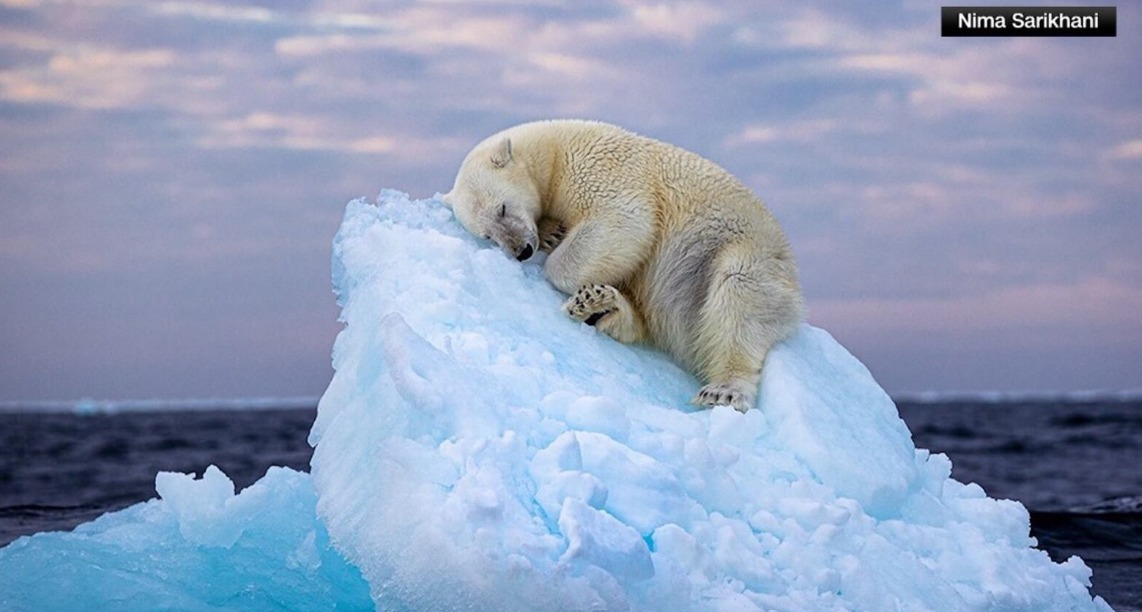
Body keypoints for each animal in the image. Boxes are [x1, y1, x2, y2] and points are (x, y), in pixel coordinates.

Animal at [443, 120, 803, 412]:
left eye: (502, 208)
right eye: (487, 235)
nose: (521, 250)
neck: (554, 150)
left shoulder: (601, 169)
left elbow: (624, 221)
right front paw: (552, 233)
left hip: (741, 252)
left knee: (738, 299)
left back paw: (724, 390)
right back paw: (601, 306)